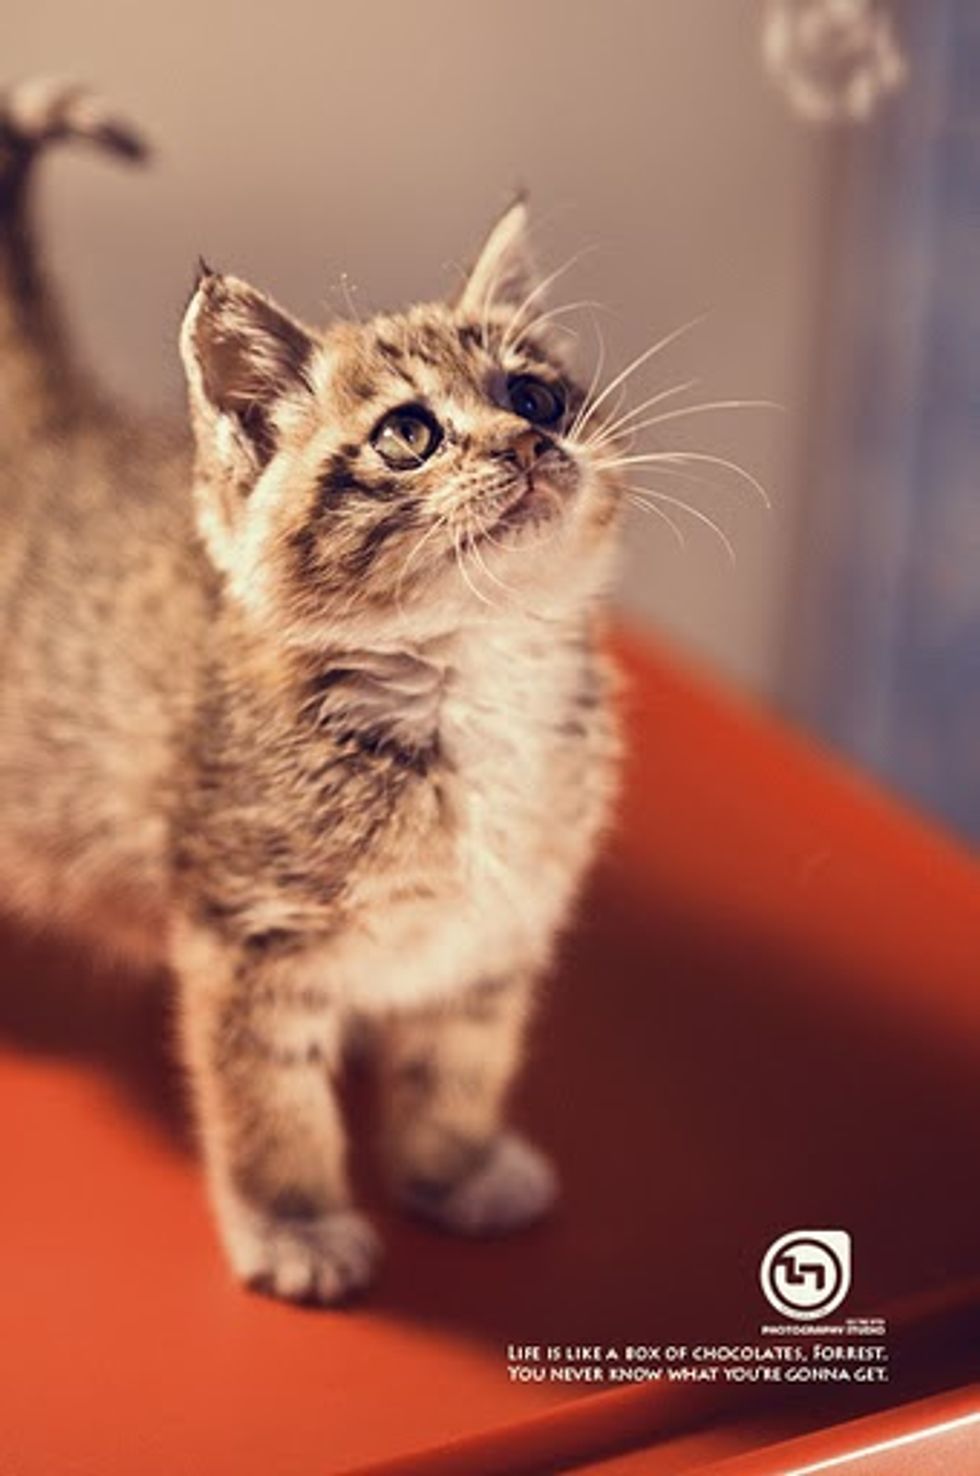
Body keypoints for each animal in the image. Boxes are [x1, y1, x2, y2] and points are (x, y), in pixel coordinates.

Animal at [0, 79, 622, 1304]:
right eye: (409, 434)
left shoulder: (501, 923)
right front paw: (295, 1223)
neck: (471, 677)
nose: (527, 443)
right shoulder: (248, 941)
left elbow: (464, 1057)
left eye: (536, 395)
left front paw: (454, 1165)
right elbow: (270, 1100)